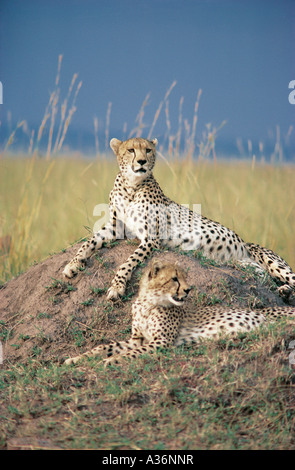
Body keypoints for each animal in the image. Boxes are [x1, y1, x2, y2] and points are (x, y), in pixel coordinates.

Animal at [62, 136, 295, 302]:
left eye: (148, 150)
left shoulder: (151, 239)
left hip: (266, 256)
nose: (142, 161)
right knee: (267, 276)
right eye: (131, 150)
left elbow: (127, 262)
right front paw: (72, 265)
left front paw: (117, 287)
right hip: (250, 267)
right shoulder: (115, 228)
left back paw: (285, 290)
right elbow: (88, 242)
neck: (131, 186)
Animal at [65, 260, 295, 368]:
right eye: (174, 278)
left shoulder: (161, 342)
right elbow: (105, 347)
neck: (148, 304)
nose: (188, 289)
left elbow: (132, 353)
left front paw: (113, 360)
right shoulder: (137, 339)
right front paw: (77, 358)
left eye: (184, 277)